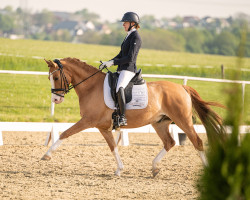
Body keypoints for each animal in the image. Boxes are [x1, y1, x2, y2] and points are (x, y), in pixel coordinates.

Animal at [42, 57, 226, 176]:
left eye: (56, 77)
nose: (56, 99)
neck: (91, 87)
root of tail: (182, 87)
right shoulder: (102, 127)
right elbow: (113, 147)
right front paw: (119, 169)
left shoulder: (88, 121)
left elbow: (66, 133)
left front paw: (47, 155)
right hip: (160, 123)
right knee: (169, 142)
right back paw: (155, 168)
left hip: (183, 120)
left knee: (197, 141)